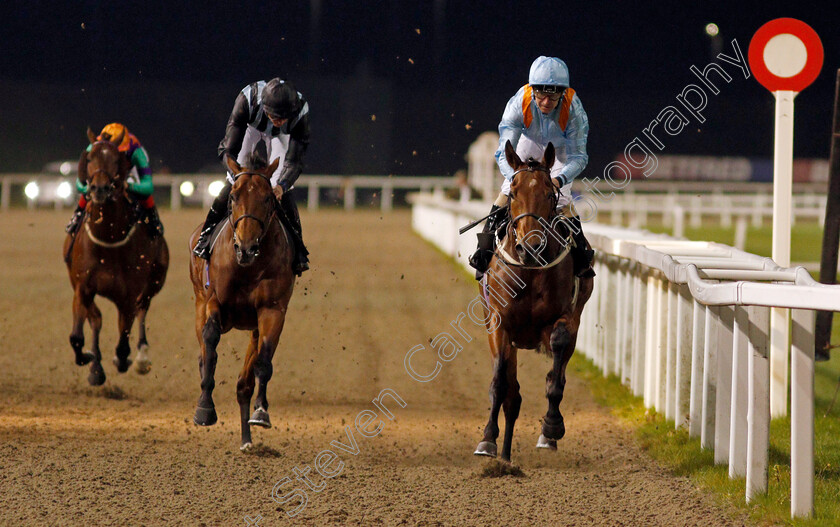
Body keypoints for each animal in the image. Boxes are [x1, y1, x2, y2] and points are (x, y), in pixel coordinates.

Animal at [63, 126, 169, 386]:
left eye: (116, 160)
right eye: (89, 158)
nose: (100, 189)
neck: (109, 240)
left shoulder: (129, 296)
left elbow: (123, 345)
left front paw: (124, 360)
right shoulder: (83, 287)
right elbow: (77, 336)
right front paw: (90, 360)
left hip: (154, 282)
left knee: (142, 311)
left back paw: (141, 356)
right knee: (96, 319)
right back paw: (96, 366)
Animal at [189, 152, 296, 450]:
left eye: (268, 198)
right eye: (233, 196)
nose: (246, 248)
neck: (246, 268)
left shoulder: (272, 311)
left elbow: (263, 361)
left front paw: (260, 412)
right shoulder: (214, 301)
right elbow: (210, 341)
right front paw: (205, 408)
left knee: (244, 383)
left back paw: (247, 439)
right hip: (199, 301)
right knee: (204, 349)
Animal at [472, 139, 596, 462]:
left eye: (549, 194)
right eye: (514, 193)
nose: (530, 248)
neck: (529, 271)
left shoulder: (566, 318)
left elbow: (555, 375)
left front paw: (551, 426)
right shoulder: (499, 323)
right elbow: (501, 383)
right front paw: (487, 440)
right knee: (511, 395)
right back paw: (504, 455)